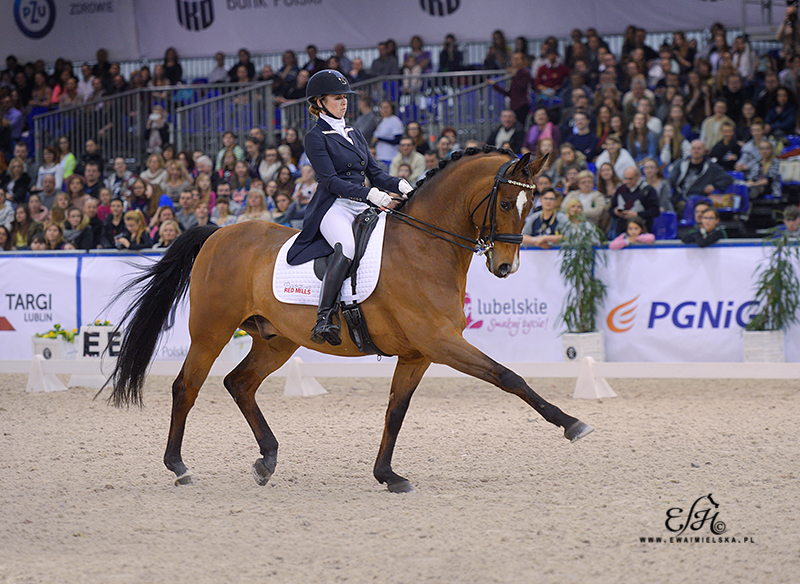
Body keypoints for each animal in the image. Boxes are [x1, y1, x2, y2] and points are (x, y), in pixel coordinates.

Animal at [106, 146, 594, 492]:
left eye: (533, 204)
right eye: (508, 202)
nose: (506, 267)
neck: (425, 246)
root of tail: (219, 232)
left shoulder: (419, 353)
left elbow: (396, 409)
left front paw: (388, 475)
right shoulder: (441, 342)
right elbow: (508, 376)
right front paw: (572, 424)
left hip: (276, 339)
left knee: (239, 383)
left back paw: (267, 459)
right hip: (212, 331)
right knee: (186, 386)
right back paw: (179, 467)